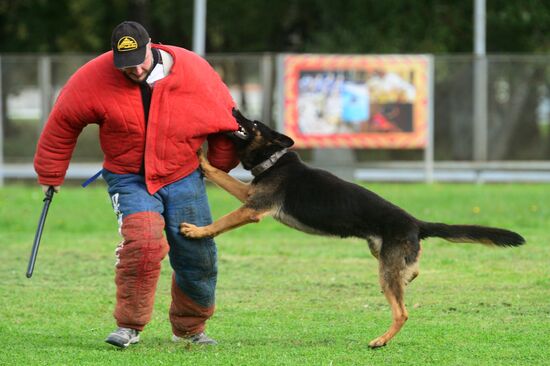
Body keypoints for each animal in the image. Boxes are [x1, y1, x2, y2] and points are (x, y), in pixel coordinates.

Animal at [181, 109, 528, 348]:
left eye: (252, 123)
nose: (233, 109)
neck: (274, 159)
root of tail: (416, 222)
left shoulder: (252, 208)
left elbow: (221, 223)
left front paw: (197, 231)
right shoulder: (248, 194)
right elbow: (220, 176)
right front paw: (202, 160)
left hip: (384, 270)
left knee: (402, 311)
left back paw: (381, 340)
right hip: (381, 253)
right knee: (412, 271)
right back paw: (407, 281)